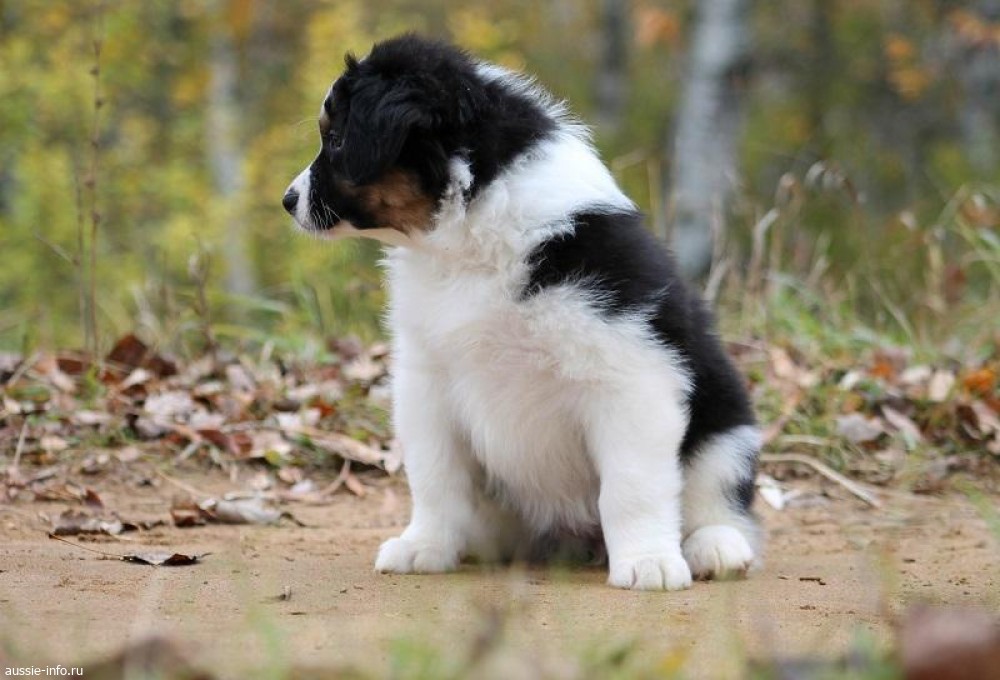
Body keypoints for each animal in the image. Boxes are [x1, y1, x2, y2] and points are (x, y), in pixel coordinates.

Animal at [283, 35, 760, 591]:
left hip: (727, 428)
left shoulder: (631, 374)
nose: (287, 200)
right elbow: (435, 477)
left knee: (718, 497)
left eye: (336, 140)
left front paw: (647, 563)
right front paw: (425, 546)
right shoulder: (427, 384)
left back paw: (715, 548)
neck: (473, 235)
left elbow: (631, 485)